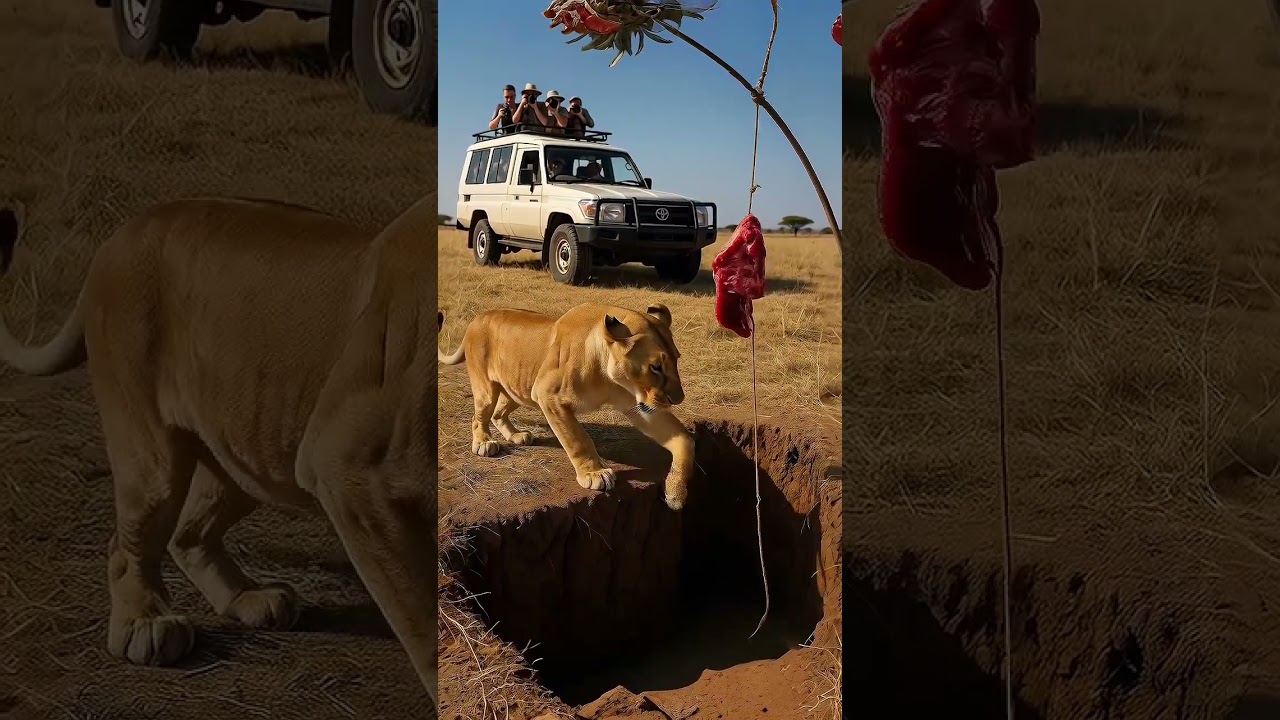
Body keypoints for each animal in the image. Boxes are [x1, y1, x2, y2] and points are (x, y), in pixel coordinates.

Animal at [0, 196, 439, 708]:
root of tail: (120, 235)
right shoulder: (348, 468)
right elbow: (426, 623)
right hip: (152, 453)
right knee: (130, 541)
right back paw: (145, 623)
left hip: (250, 451)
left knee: (187, 533)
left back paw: (250, 598)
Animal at [437, 302, 695, 511]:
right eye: (656, 367)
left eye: (676, 359)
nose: (678, 399)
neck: (607, 374)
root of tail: (478, 318)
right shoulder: (548, 395)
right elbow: (577, 438)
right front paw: (594, 473)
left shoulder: (638, 405)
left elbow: (684, 440)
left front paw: (675, 493)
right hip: (488, 389)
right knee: (480, 416)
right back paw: (484, 443)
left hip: (518, 389)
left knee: (499, 413)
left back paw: (517, 435)